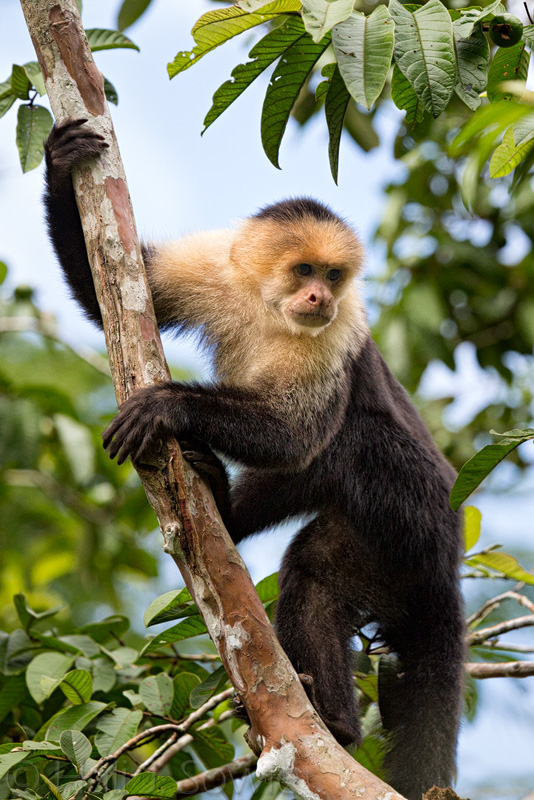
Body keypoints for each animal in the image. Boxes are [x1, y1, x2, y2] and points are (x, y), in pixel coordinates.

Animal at [45, 117, 464, 800]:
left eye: (333, 275)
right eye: (304, 269)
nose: (318, 297)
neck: (271, 308)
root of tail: (450, 559)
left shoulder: (339, 330)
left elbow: (294, 433)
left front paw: (170, 404)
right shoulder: (216, 272)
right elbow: (115, 287)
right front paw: (61, 162)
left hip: (417, 515)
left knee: (342, 461)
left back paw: (332, 726)